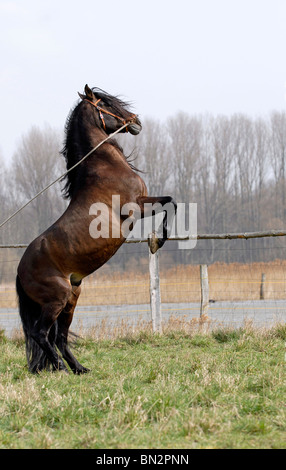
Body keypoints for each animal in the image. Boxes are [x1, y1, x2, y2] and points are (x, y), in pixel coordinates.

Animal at [16, 83, 177, 370]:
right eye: (108, 104)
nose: (136, 121)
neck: (104, 165)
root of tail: (19, 270)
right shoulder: (135, 208)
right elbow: (170, 203)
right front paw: (157, 242)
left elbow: (171, 201)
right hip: (57, 298)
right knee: (41, 333)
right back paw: (60, 367)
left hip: (72, 297)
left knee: (59, 337)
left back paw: (79, 369)